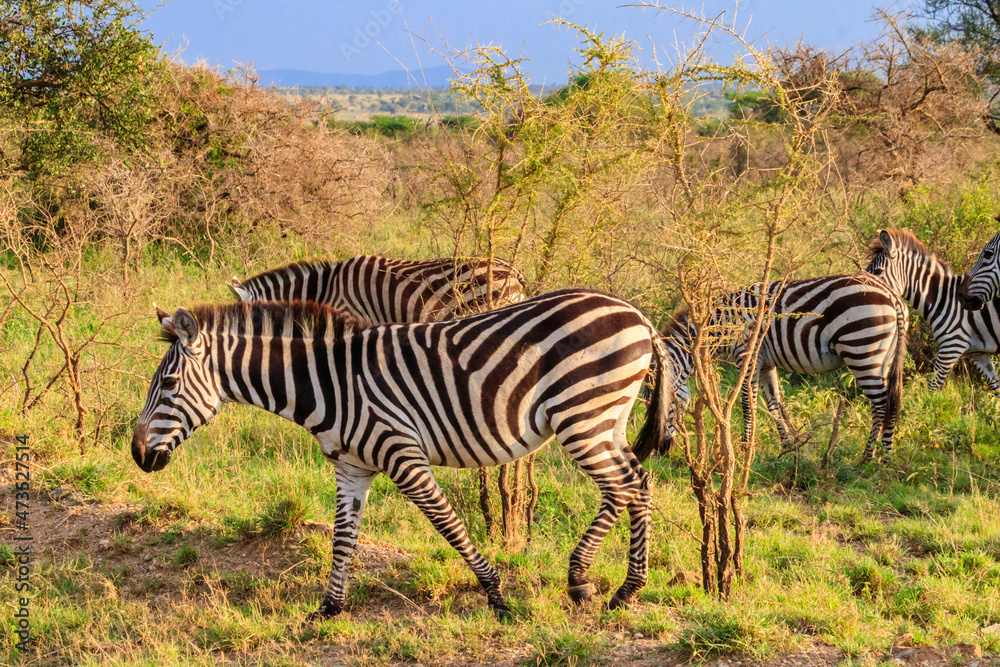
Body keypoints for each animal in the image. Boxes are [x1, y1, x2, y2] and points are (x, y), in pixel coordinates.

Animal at [132, 289, 671, 621]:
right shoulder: (352, 468)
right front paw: (327, 609)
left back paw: (584, 580)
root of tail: (640, 316)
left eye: (169, 383)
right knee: (639, 483)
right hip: (604, 419)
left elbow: (449, 526)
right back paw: (626, 589)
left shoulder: (402, 455)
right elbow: (342, 540)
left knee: (623, 485)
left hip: (582, 414)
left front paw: (496, 596)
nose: (137, 455)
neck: (329, 384)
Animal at [660, 275, 908, 462]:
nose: (659, 451)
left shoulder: (748, 356)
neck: (722, 326)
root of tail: (892, 295)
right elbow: (774, 405)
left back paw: (872, 458)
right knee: (887, 403)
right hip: (883, 357)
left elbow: (747, 404)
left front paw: (745, 448)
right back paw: (881, 457)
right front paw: (787, 447)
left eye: (663, 405)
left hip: (861, 347)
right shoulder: (766, 364)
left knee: (881, 405)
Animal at [866, 229, 1000, 392]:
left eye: (878, 271)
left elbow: (932, 388)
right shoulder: (978, 353)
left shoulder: (951, 346)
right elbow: (996, 386)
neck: (944, 300)